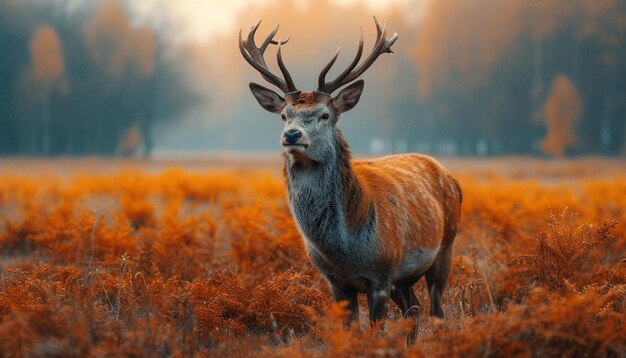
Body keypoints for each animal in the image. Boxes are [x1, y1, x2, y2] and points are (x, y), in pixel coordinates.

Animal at [238, 17, 458, 344]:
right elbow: (351, 330)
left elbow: (376, 330)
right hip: (403, 280)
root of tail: (451, 178)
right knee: (414, 309)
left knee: (436, 310)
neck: (345, 249)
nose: (291, 135)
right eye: (284, 115)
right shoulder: (337, 282)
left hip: (445, 247)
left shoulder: (381, 274)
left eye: (324, 115)